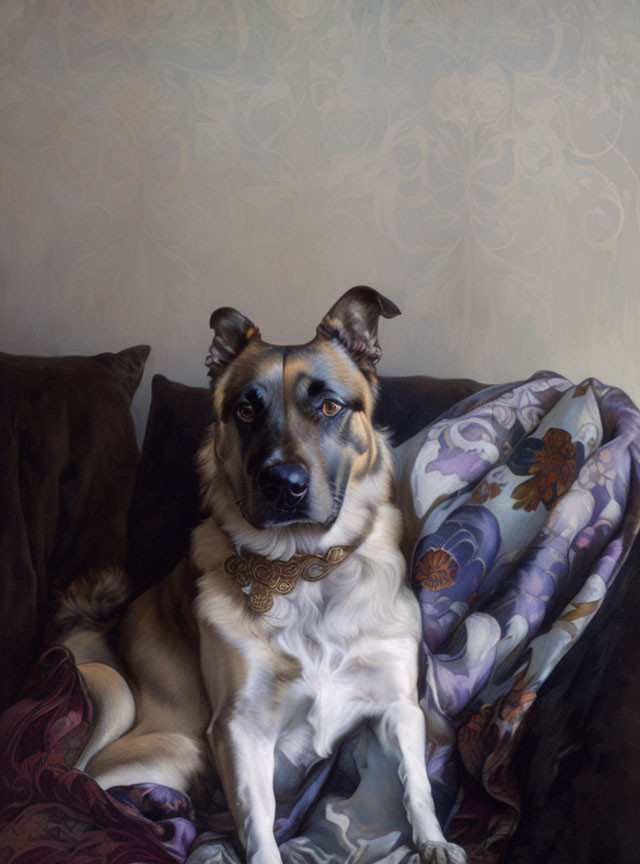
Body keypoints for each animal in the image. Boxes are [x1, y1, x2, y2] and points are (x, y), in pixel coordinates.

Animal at [61, 288, 464, 864]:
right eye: (246, 409)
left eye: (329, 406)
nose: (283, 485)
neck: (306, 570)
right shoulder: (240, 729)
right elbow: (259, 822)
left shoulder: (400, 708)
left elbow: (417, 783)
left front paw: (433, 841)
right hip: (175, 748)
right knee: (86, 781)